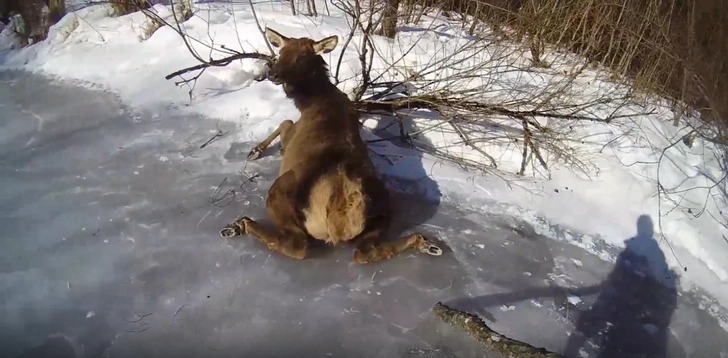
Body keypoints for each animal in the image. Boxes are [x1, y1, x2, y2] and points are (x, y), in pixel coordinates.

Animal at [218, 27, 444, 262]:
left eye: (301, 57)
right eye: (281, 52)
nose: (273, 74)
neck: (312, 101)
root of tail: (340, 219)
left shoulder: (294, 133)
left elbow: (285, 122)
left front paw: (256, 150)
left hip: (280, 190)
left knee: (297, 245)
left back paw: (239, 225)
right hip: (383, 206)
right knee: (365, 251)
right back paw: (426, 243)